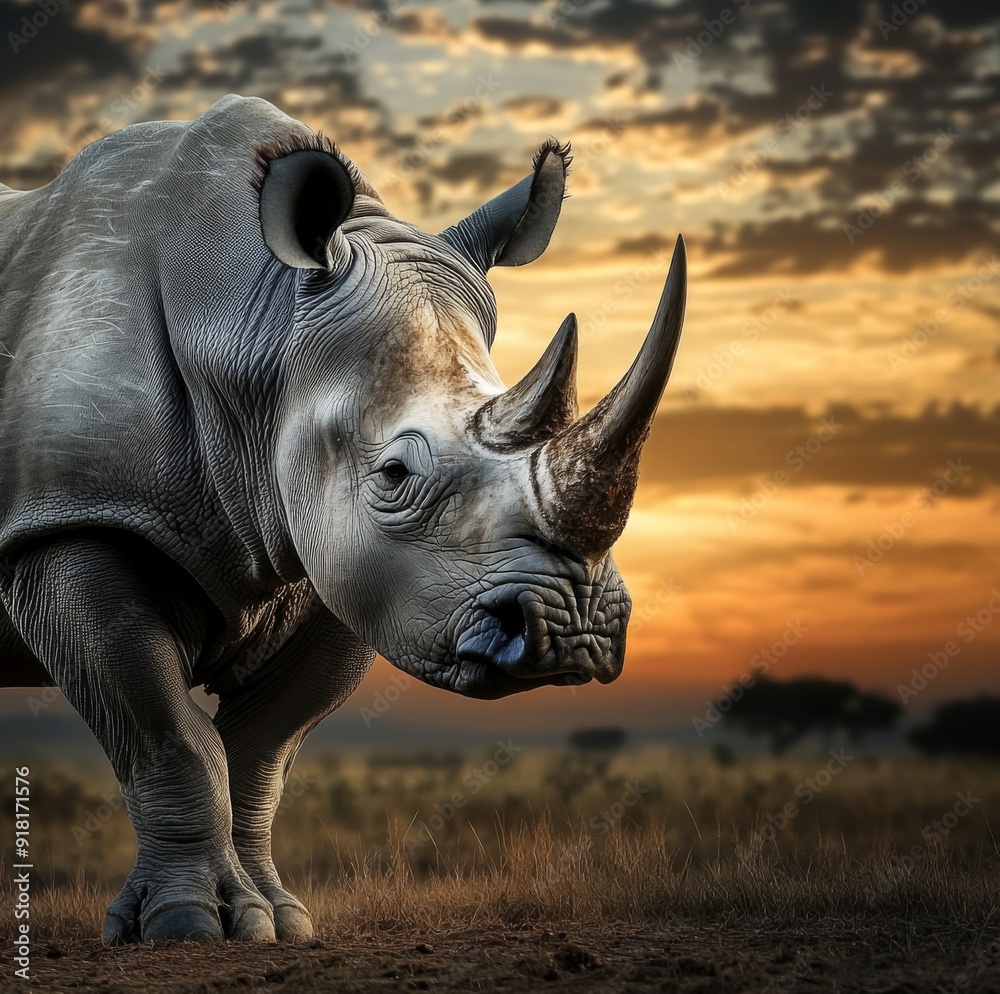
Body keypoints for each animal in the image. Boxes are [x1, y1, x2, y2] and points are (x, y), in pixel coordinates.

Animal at [0, 95, 686, 943]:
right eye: (394, 475)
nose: (575, 631)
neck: (256, 331)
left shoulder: (338, 558)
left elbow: (261, 752)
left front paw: (275, 921)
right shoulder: (69, 517)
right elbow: (167, 737)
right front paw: (187, 925)